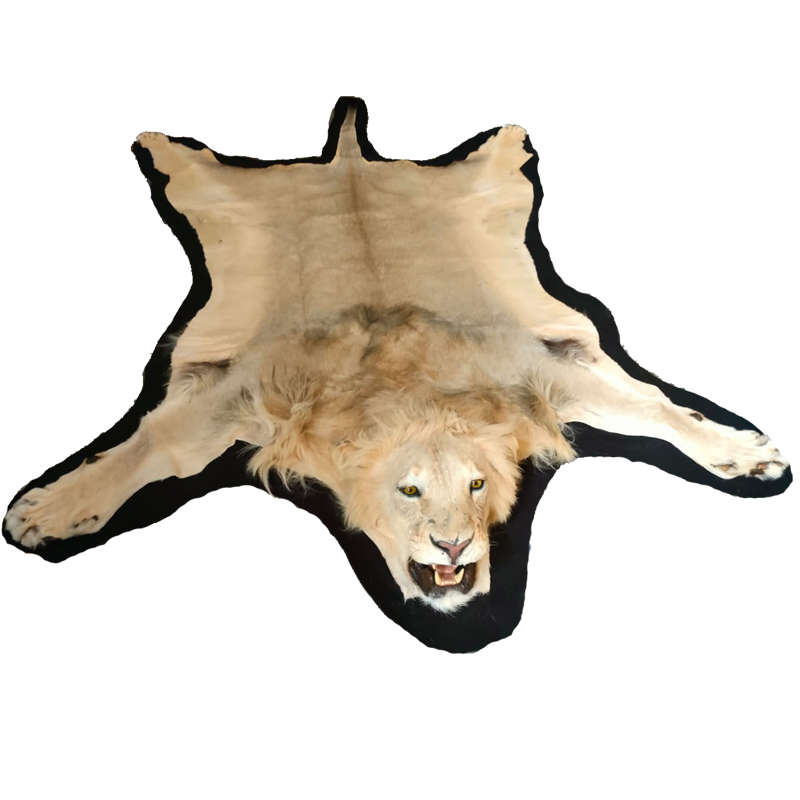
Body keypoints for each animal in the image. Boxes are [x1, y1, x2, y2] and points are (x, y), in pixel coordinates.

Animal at [4, 100, 790, 615]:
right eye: (408, 491)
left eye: (476, 485)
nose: (451, 549)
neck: (409, 397)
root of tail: (349, 162)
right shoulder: (249, 383)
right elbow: (159, 445)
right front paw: (48, 510)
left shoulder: (540, 369)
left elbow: (652, 408)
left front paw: (747, 454)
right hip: (229, 188)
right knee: (197, 167)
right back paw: (156, 141)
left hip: (481, 189)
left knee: (490, 164)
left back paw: (509, 134)